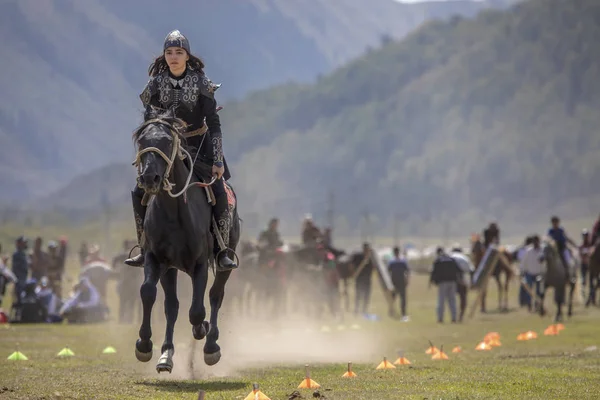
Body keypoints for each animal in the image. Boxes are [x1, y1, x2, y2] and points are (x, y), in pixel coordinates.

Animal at [132, 109, 240, 372]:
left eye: (167, 142)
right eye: (142, 141)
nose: (149, 178)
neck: (174, 212)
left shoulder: (199, 264)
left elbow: (197, 311)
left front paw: (203, 333)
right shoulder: (156, 260)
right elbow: (148, 293)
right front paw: (144, 345)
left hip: (224, 262)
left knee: (215, 295)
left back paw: (210, 344)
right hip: (171, 269)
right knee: (172, 306)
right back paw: (166, 355)